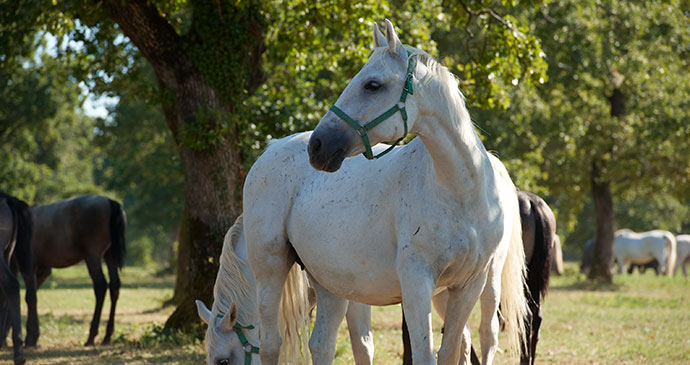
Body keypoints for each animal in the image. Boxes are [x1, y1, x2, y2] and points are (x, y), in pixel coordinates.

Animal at [243, 20, 528, 364]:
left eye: (372, 85)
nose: (318, 146)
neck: (459, 193)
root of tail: (271, 148)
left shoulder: (468, 286)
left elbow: (449, 351)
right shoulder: (417, 282)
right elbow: (424, 354)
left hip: (328, 283)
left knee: (321, 343)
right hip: (270, 268)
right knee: (271, 343)